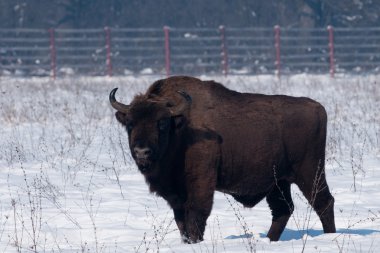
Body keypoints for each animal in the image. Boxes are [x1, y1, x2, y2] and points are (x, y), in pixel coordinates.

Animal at [110, 75, 336, 243]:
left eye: (162, 123)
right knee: (283, 209)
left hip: (310, 172)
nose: (142, 151)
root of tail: (318, 108)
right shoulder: (176, 195)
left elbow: (197, 215)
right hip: (278, 182)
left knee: (323, 202)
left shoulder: (201, 183)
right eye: (130, 123)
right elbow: (181, 221)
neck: (181, 128)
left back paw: (330, 236)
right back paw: (269, 240)